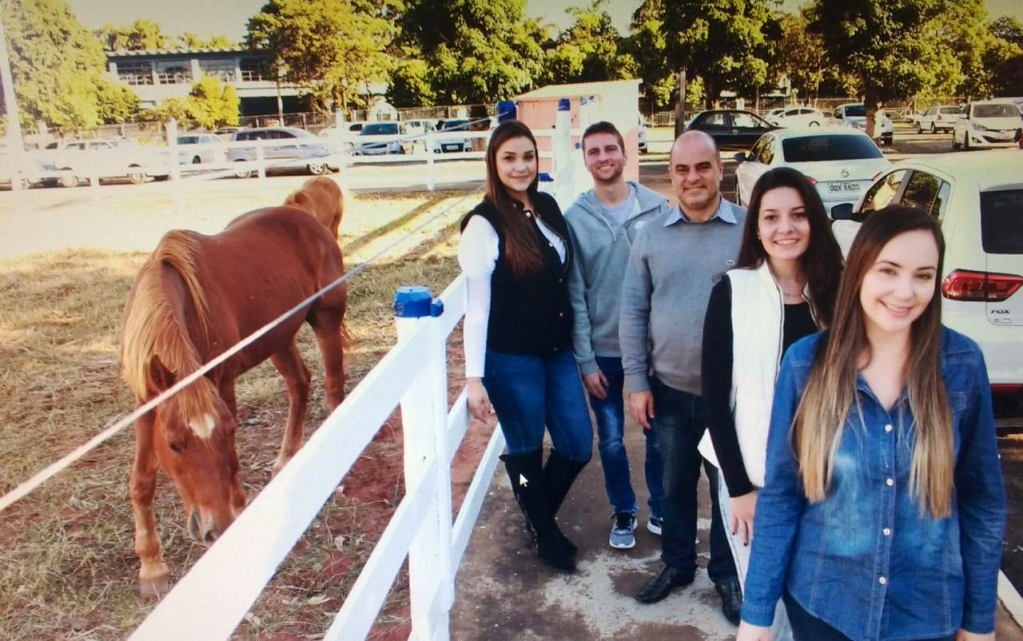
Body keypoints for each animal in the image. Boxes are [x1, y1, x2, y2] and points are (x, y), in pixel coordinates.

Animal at [121, 175, 347, 597]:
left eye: (228, 431)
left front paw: (239, 510)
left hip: (325, 319)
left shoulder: (222, 383)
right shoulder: (146, 403)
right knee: (300, 384)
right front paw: (151, 567)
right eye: (174, 444)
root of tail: (302, 214)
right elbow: (142, 481)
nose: (216, 529)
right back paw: (285, 459)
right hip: (278, 337)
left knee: (333, 387)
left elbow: (233, 462)